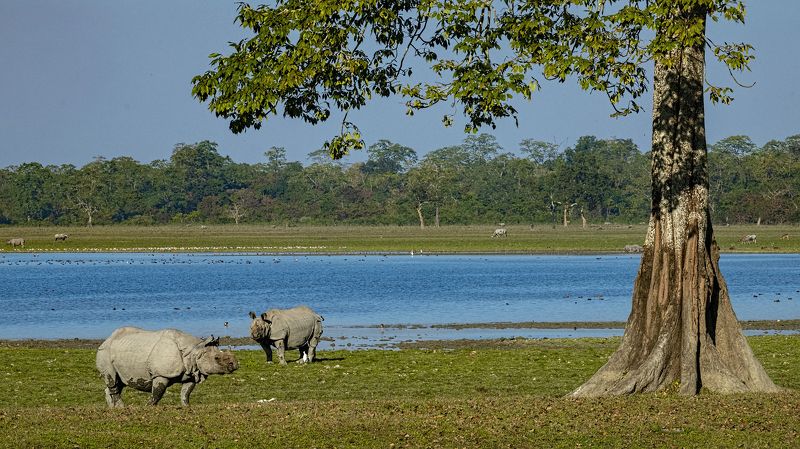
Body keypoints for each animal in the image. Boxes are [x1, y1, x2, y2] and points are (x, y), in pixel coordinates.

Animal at [96, 327, 238, 407]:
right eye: (217, 358)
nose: (235, 365)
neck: (194, 351)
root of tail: (106, 339)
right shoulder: (161, 374)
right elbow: (157, 393)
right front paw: (149, 406)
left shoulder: (191, 373)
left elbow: (186, 392)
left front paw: (186, 406)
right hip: (104, 352)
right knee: (112, 379)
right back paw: (122, 407)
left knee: (118, 382)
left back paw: (113, 409)